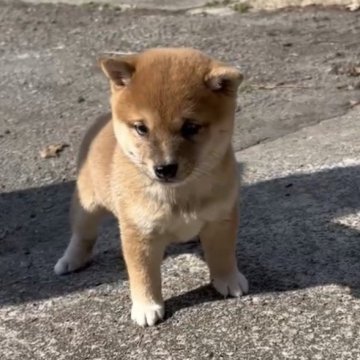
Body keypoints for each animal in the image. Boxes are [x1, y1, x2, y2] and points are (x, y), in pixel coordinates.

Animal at [54, 47, 249, 326]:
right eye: (141, 128)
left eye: (191, 127)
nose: (164, 168)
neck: (180, 196)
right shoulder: (139, 232)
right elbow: (144, 273)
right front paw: (146, 306)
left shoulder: (221, 218)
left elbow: (222, 254)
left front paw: (228, 279)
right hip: (87, 204)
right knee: (83, 235)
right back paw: (71, 260)